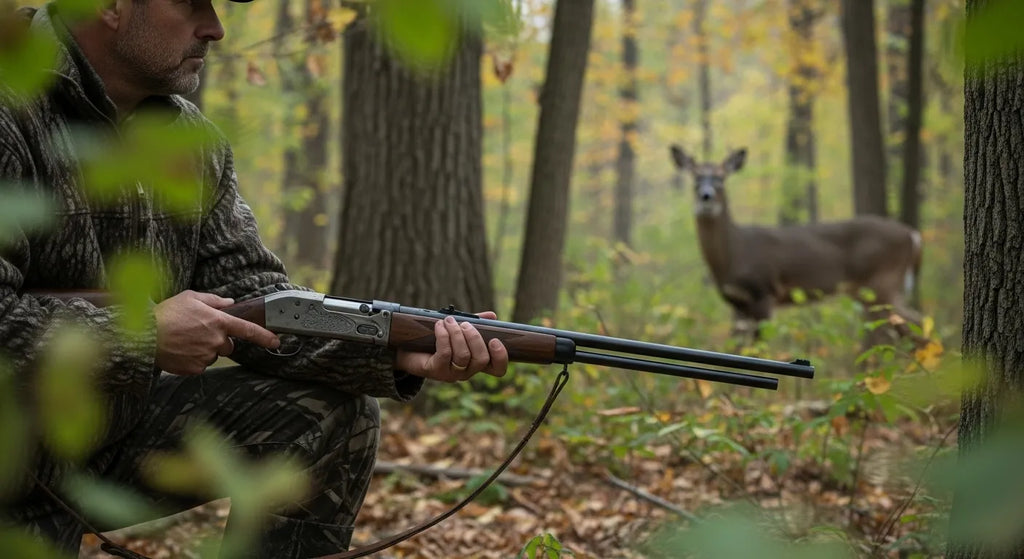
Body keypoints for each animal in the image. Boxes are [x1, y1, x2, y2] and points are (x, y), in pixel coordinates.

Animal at [669, 144, 923, 346]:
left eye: (721, 179)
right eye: (695, 179)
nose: (706, 197)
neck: (734, 254)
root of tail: (912, 234)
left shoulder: (764, 292)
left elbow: (760, 347)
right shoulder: (738, 303)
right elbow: (738, 348)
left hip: (883, 282)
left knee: (911, 324)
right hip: (872, 291)